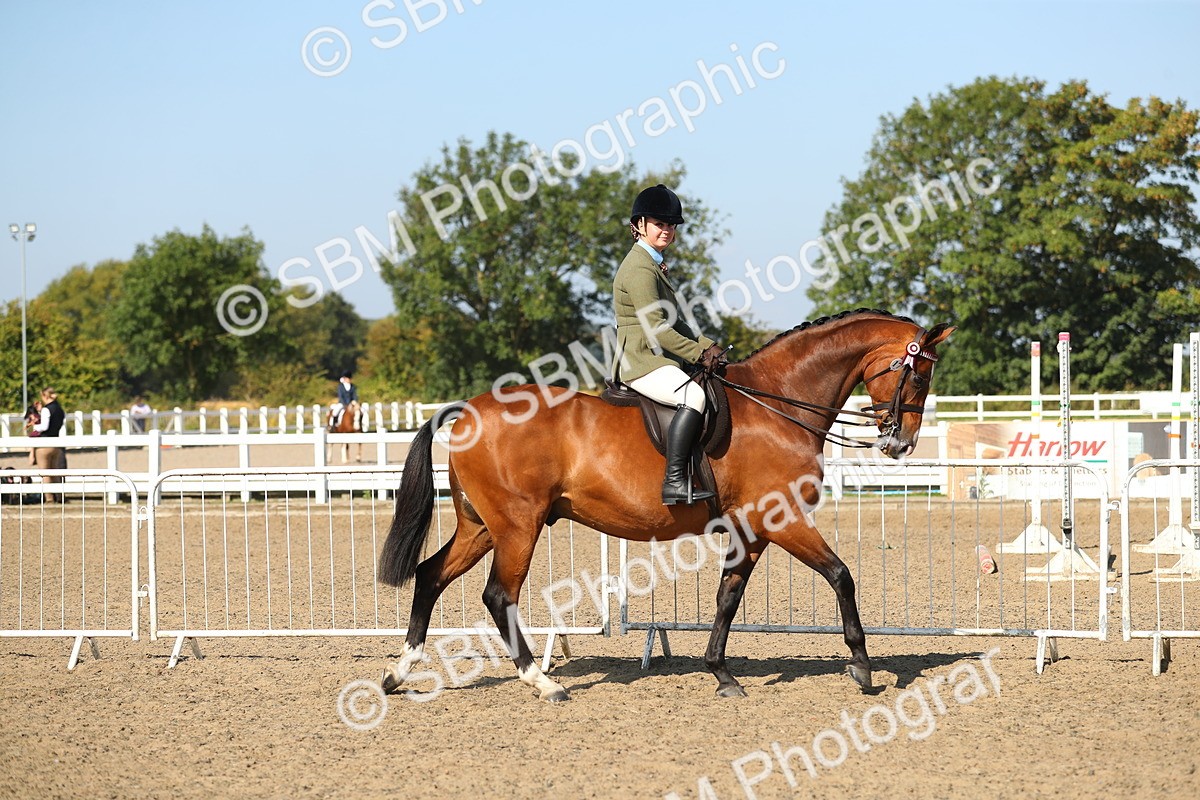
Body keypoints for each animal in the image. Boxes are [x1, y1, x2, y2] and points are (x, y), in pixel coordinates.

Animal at [377, 309, 954, 702]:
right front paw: (863, 668)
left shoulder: (752, 530)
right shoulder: (783, 519)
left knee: (430, 576)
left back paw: (398, 673)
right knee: (499, 596)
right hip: (518, 526)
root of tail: (468, 410)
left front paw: (720, 673)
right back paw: (542, 682)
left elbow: (728, 597)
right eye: (919, 375)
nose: (900, 444)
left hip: (481, 527)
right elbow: (841, 575)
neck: (778, 404)